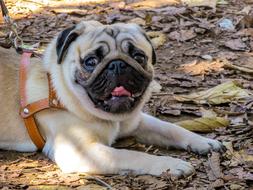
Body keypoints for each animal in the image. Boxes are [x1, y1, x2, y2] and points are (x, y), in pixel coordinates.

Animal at [0, 20, 223, 177]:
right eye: (91, 61)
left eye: (139, 57)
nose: (117, 65)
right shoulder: (81, 151)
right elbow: (130, 155)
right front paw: (170, 164)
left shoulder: (136, 122)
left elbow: (170, 129)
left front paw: (203, 142)